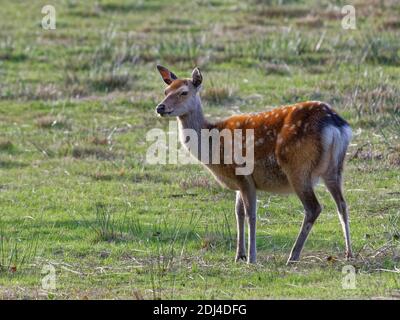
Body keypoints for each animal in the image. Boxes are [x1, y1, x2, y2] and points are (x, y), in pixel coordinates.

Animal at [155, 63, 352, 264]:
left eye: (184, 92)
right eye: (165, 91)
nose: (160, 107)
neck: (213, 146)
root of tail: (335, 124)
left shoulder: (244, 175)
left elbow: (251, 214)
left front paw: (251, 257)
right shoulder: (238, 180)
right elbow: (238, 212)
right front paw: (239, 255)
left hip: (298, 168)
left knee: (314, 208)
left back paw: (293, 256)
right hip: (335, 168)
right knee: (342, 204)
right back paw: (348, 253)